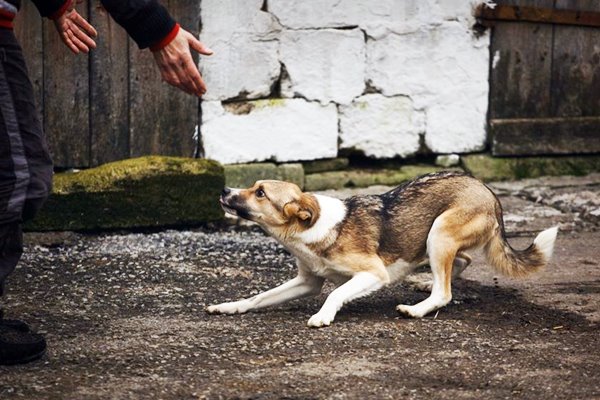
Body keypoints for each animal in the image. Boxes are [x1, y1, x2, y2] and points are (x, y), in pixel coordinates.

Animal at [206, 170, 556, 326]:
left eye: (260, 193)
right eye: (254, 187)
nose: (223, 189)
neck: (310, 226)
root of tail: (489, 192)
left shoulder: (373, 273)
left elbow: (335, 293)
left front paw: (323, 316)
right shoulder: (307, 281)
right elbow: (258, 297)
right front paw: (230, 307)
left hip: (439, 233)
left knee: (445, 291)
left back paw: (417, 309)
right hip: (437, 240)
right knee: (461, 263)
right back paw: (426, 284)